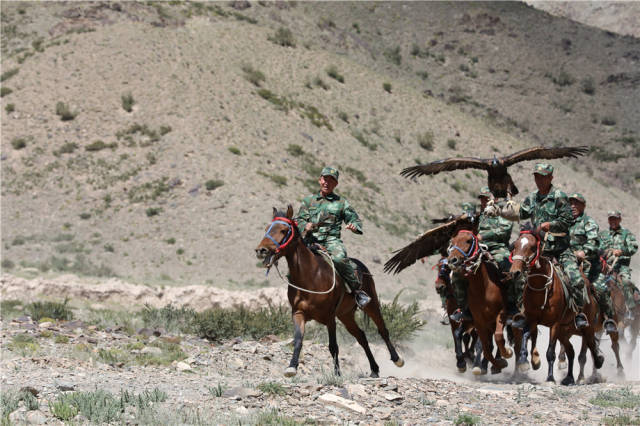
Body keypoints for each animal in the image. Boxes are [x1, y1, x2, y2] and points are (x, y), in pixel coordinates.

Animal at [256, 206, 402, 376]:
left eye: (283, 230)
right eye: (267, 228)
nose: (261, 250)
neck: (311, 276)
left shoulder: (330, 317)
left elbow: (333, 346)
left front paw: (337, 374)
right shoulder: (298, 313)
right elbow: (298, 340)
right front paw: (291, 367)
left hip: (371, 305)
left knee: (382, 330)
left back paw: (397, 359)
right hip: (346, 315)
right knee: (361, 336)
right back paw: (374, 369)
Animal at [448, 230, 512, 372]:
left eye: (468, 241)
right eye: (452, 242)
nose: (452, 260)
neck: (483, 287)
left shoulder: (501, 314)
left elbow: (498, 337)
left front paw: (505, 355)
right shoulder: (479, 322)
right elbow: (486, 350)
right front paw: (495, 365)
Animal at [508, 230, 604, 386]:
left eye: (532, 247)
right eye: (515, 246)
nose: (515, 272)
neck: (541, 288)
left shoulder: (555, 324)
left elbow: (550, 352)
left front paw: (550, 378)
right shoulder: (531, 320)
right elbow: (525, 338)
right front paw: (524, 362)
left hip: (586, 327)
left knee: (590, 345)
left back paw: (598, 362)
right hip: (564, 332)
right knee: (571, 351)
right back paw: (569, 378)